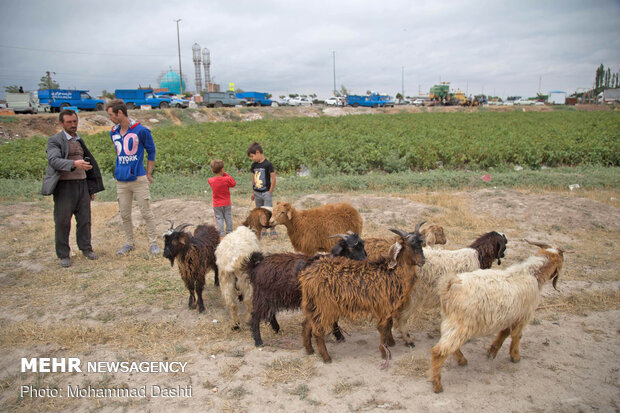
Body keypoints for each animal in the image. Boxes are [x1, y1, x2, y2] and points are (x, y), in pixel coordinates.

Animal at [300, 224, 426, 362]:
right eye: (410, 245)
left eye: (421, 244)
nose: (423, 260)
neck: (393, 272)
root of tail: (307, 275)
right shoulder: (383, 305)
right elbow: (383, 328)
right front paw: (384, 352)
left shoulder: (388, 306)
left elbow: (389, 324)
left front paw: (391, 342)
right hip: (325, 306)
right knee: (317, 330)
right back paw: (326, 357)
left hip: (314, 304)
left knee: (307, 324)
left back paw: (309, 350)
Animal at [428, 240, 564, 392]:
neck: (532, 273)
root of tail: (449, 287)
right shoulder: (523, 316)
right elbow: (516, 336)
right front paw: (515, 357)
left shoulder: (511, 315)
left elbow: (504, 333)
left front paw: (492, 351)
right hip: (461, 324)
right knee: (439, 351)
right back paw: (437, 384)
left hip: (451, 322)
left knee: (449, 345)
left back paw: (462, 360)